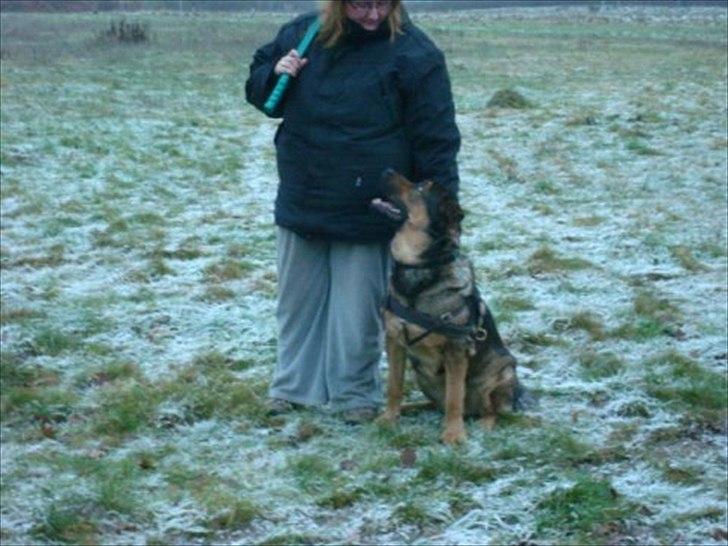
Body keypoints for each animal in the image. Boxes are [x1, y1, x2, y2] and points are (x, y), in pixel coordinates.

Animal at [372, 169, 520, 442]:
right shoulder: (394, 340)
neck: (419, 268)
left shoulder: (456, 349)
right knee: (436, 403)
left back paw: (483, 424)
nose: (386, 170)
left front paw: (453, 435)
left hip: (502, 372)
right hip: (424, 378)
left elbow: (454, 397)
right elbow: (394, 386)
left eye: (420, 187)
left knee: (491, 409)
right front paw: (389, 417)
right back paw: (411, 407)